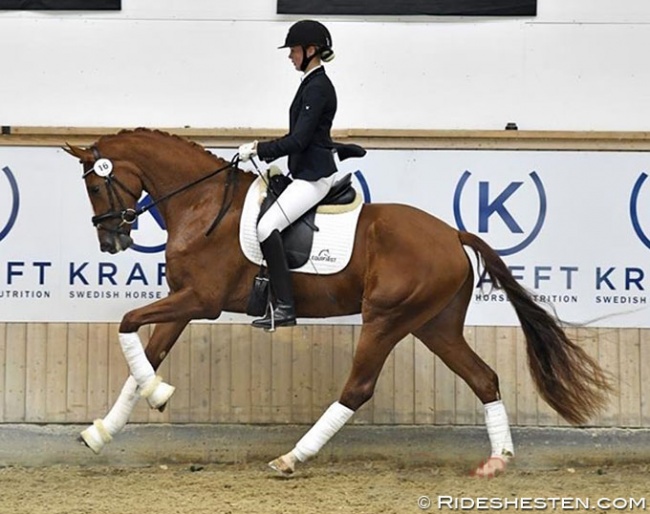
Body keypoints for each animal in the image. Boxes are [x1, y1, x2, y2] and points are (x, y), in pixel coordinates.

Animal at [66, 128, 608, 476]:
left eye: (94, 185)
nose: (111, 242)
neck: (202, 206)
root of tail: (452, 233)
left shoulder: (200, 300)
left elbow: (126, 322)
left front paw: (157, 393)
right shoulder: (184, 301)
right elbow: (146, 353)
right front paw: (106, 429)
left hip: (386, 319)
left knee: (358, 388)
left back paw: (291, 458)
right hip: (434, 324)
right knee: (484, 378)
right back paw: (498, 461)